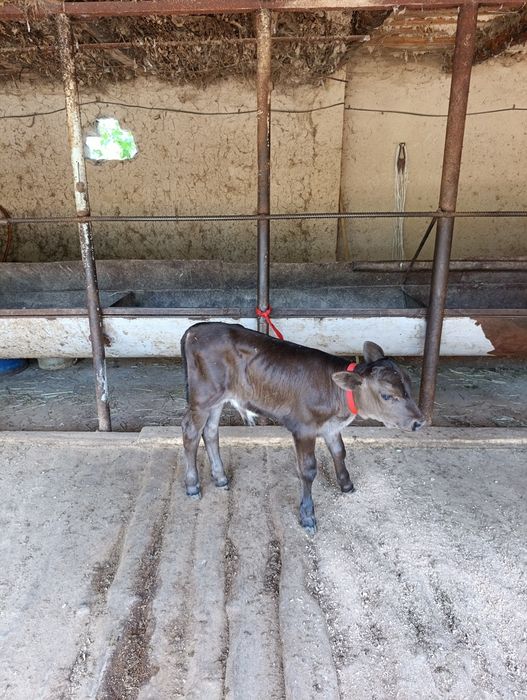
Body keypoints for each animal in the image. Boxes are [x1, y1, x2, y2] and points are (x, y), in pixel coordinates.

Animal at [181, 322, 425, 533]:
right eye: (387, 395)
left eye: (409, 385)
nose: (419, 421)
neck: (339, 398)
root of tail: (196, 328)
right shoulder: (304, 428)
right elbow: (308, 470)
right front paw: (307, 516)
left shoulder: (331, 427)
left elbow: (339, 452)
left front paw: (346, 485)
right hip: (202, 397)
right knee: (191, 431)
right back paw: (192, 485)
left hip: (218, 398)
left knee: (210, 431)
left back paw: (220, 477)